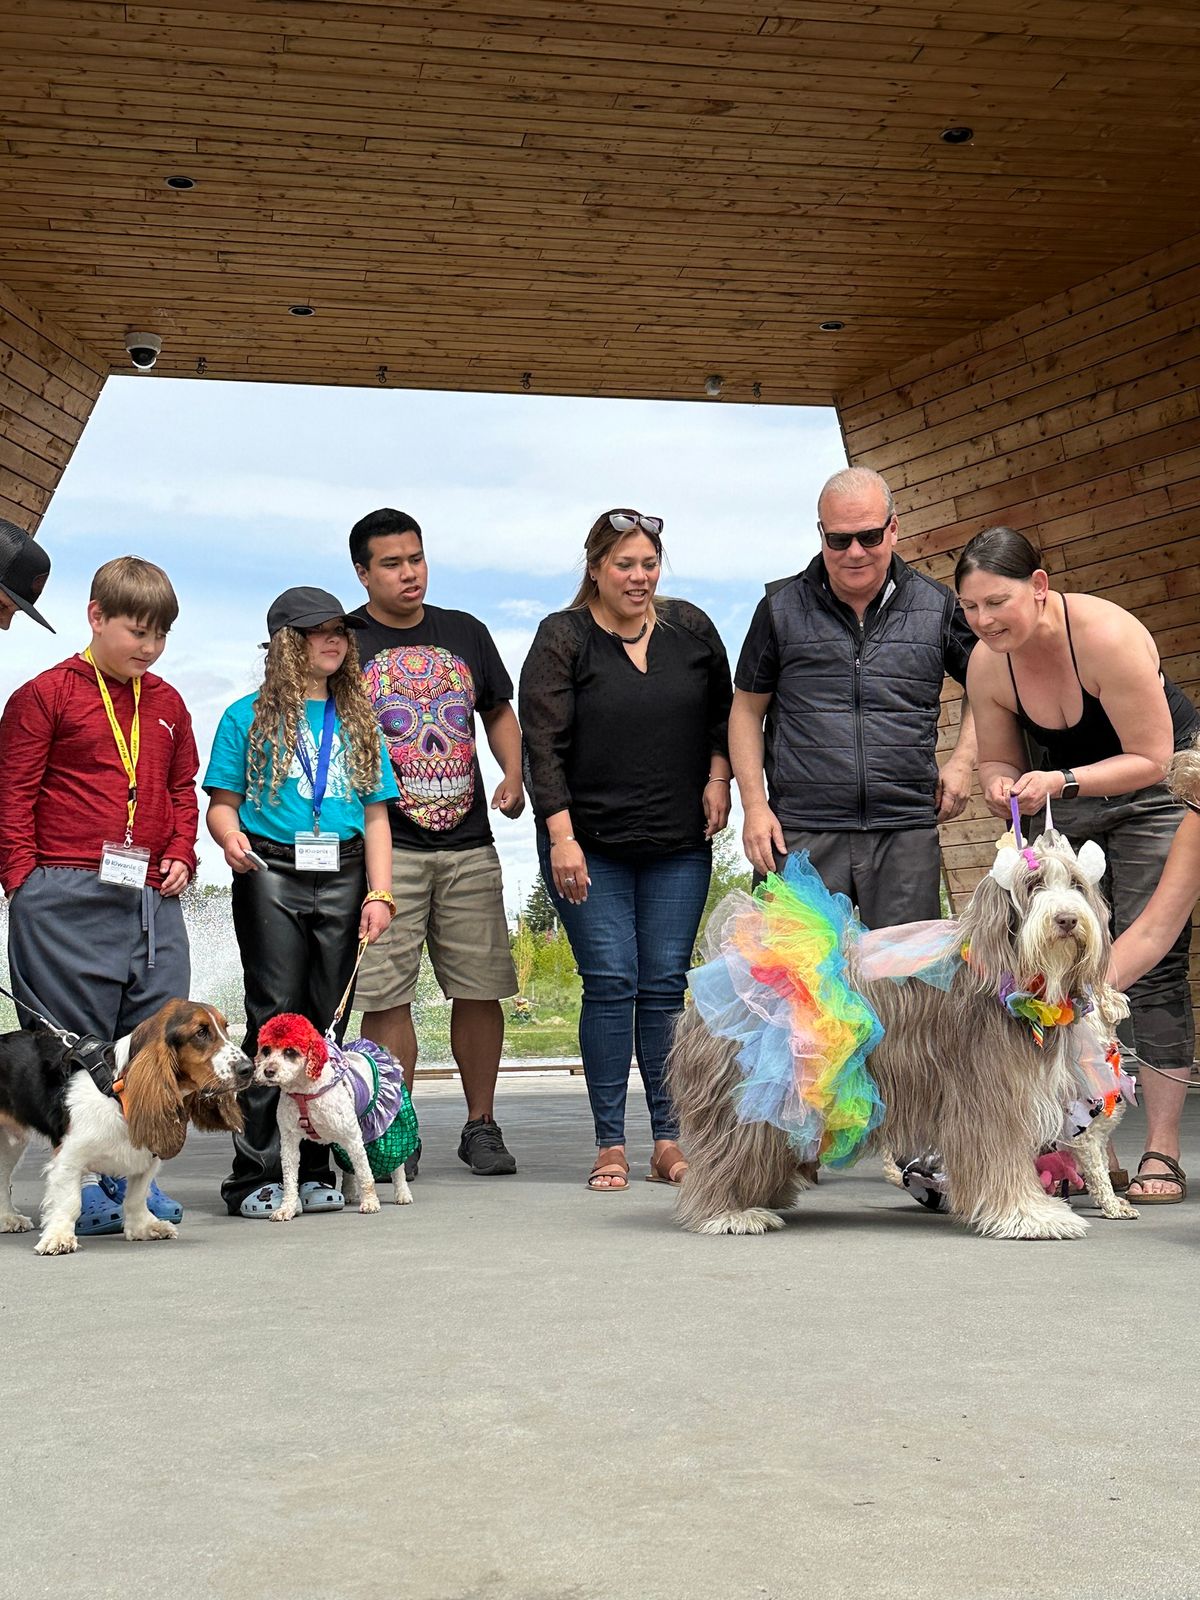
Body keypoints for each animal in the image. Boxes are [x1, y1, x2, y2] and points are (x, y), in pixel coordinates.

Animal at [672, 832, 1126, 1241]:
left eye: (1077, 885)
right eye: (1033, 886)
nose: (1067, 920)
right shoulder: (988, 1096)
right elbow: (1001, 1157)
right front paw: (1030, 1215)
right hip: (750, 1097)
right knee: (727, 1151)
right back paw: (728, 1212)